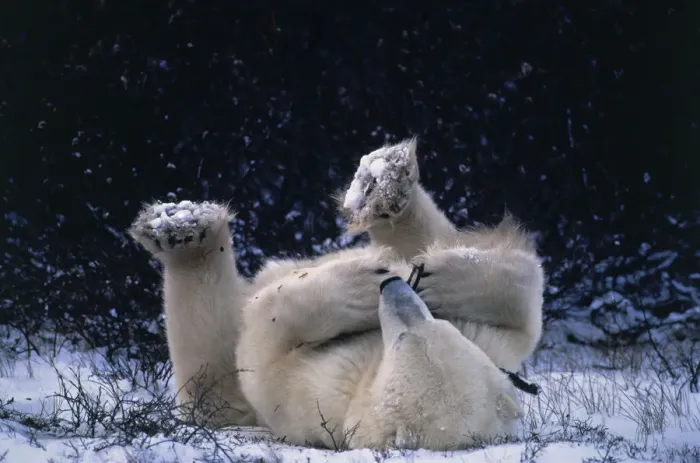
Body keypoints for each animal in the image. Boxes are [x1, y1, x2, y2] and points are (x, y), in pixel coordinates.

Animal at [128, 138, 545, 448]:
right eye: (442, 328)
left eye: (403, 339)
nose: (394, 286)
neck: (371, 367)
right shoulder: (495, 348)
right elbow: (526, 307)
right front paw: (433, 276)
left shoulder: (321, 393)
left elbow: (261, 352)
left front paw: (359, 286)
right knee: (426, 235)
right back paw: (383, 185)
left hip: (225, 394)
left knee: (207, 364)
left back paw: (187, 237)